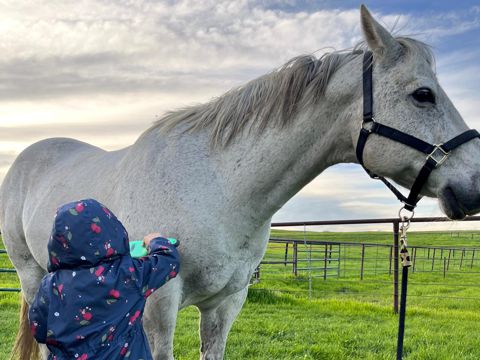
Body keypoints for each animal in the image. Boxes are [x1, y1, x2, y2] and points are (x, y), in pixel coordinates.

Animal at [0, 5, 480, 360]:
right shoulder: (158, 306)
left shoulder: (225, 304)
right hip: (31, 276)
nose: (473, 186)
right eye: (423, 95)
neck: (218, 190)